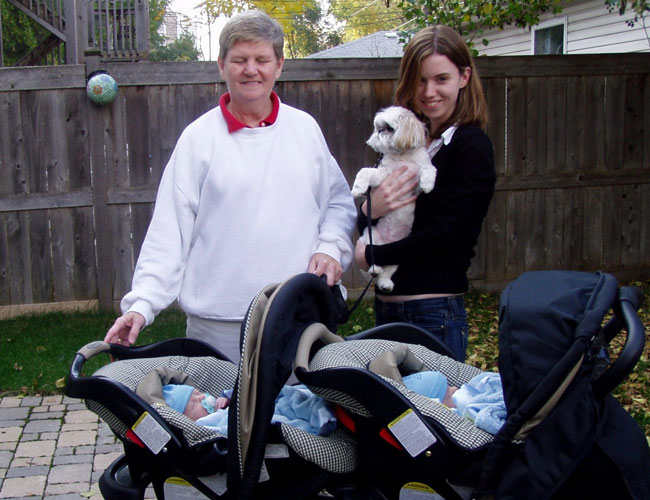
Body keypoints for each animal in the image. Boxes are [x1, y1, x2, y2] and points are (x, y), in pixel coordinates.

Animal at [350, 106, 436, 292]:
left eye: (388, 128)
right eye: (378, 128)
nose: (379, 132)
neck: (403, 156)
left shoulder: (416, 182)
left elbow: (429, 168)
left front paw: (428, 184)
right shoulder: (383, 176)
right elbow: (365, 171)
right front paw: (358, 188)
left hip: (396, 257)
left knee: (386, 272)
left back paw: (385, 283)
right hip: (370, 240)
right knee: (371, 262)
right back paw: (375, 270)